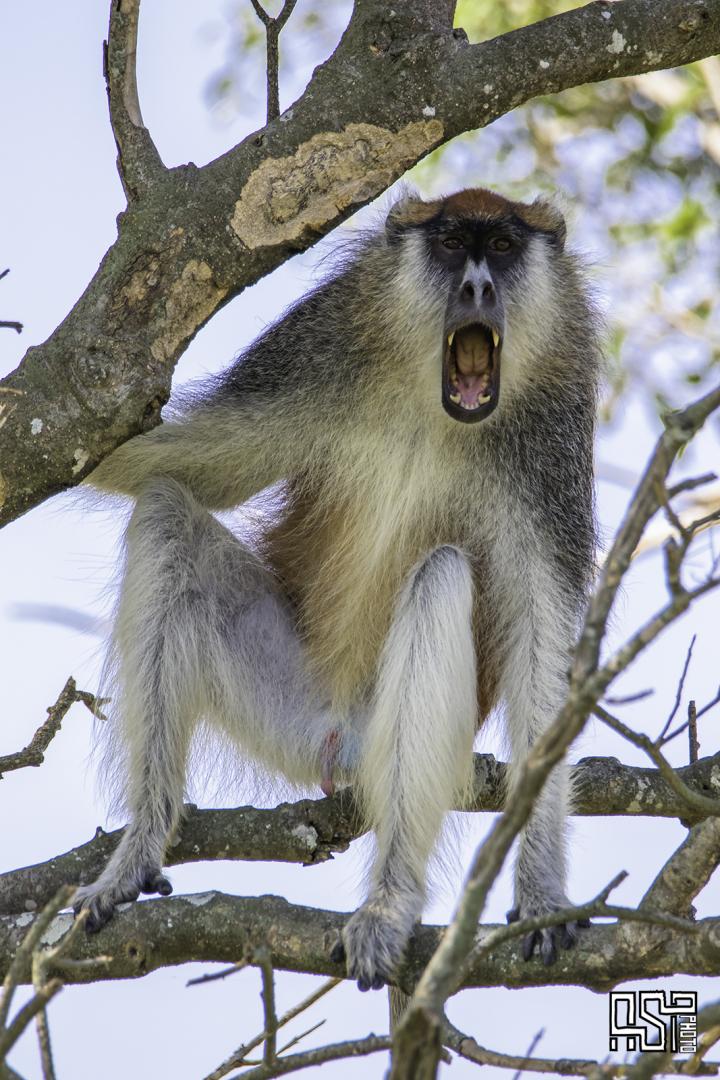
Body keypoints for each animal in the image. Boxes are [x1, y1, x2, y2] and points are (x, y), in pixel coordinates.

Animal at [73, 186, 600, 990]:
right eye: (452, 243)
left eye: (505, 248)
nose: (477, 288)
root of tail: (341, 740)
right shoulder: (315, 351)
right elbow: (178, 462)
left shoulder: (553, 446)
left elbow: (540, 647)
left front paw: (542, 894)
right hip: (291, 703)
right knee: (166, 513)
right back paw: (142, 843)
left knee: (442, 575)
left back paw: (390, 900)